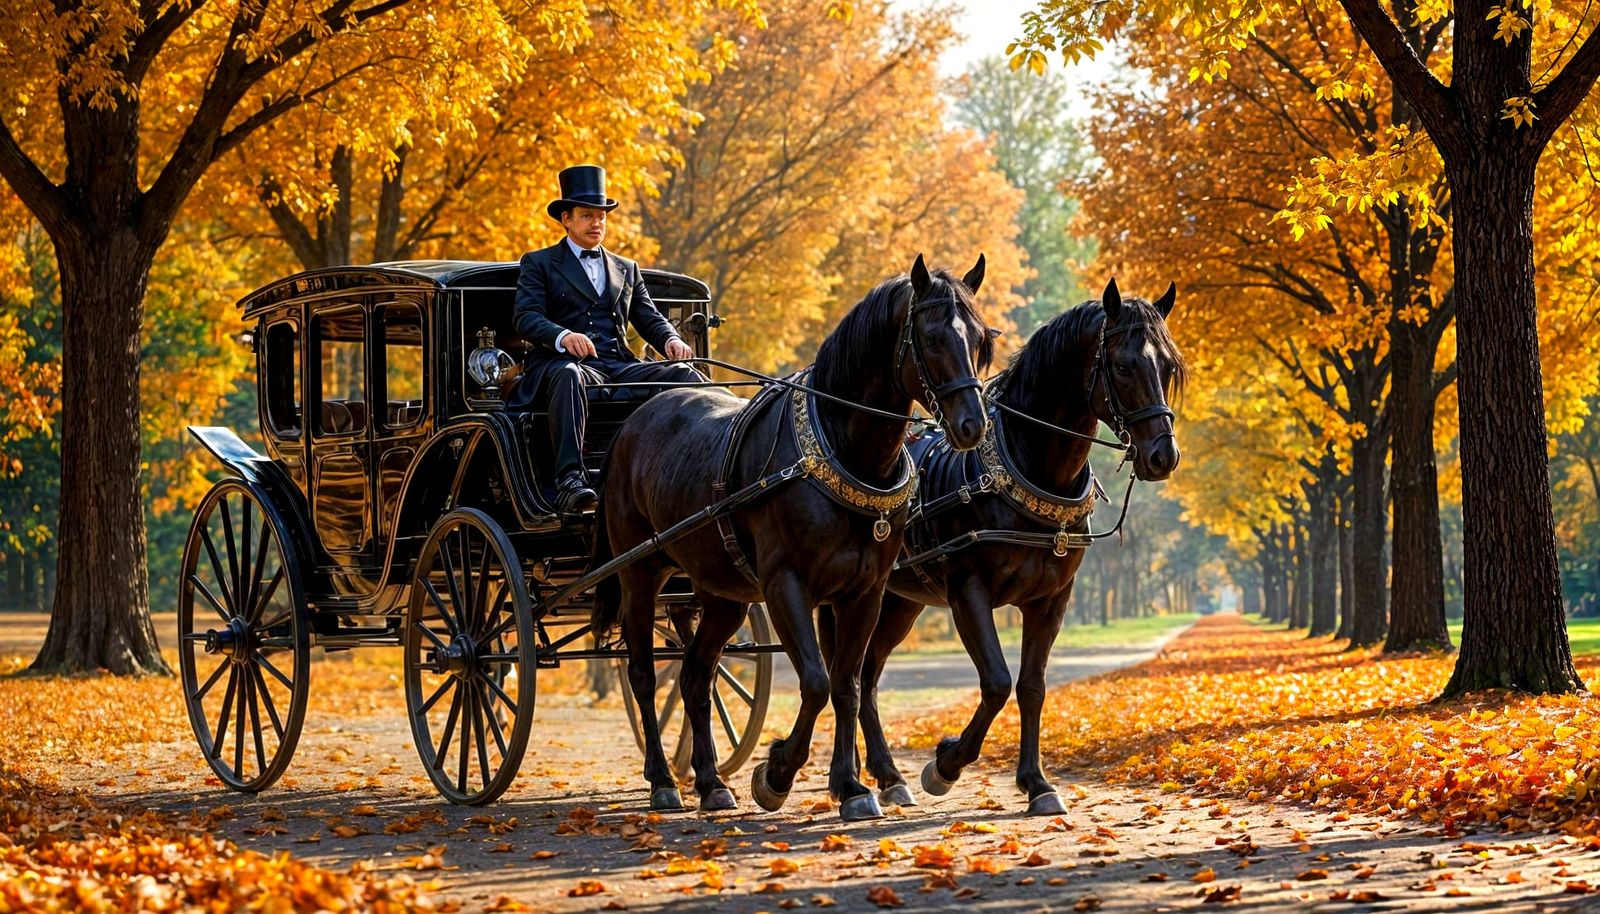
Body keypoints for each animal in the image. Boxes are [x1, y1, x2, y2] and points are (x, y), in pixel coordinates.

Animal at [593, 254, 995, 821]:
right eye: (933, 337)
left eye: (981, 338)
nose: (971, 426)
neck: (843, 454)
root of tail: (634, 421)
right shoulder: (786, 586)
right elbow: (817, 680)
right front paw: (777, 773)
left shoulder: (864, 593)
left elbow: (847, 685)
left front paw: (852, 787)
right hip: (639, 574)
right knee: (644, 675)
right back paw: (663, 781)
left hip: (722, 595)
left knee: (695, 676)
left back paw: (711, 783)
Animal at [846, 277, 1185, 816]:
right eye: (1124, 365)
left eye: (1168, 366)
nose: (1163, 455)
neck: (1025, 469)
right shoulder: (968, 593)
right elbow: (997, 681)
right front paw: (945, 764)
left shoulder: (1051, 601)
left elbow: (1031, 686)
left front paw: (1037, 784)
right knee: (853, 674)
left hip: (898, 602)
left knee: (868, 675)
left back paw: (887, 776)